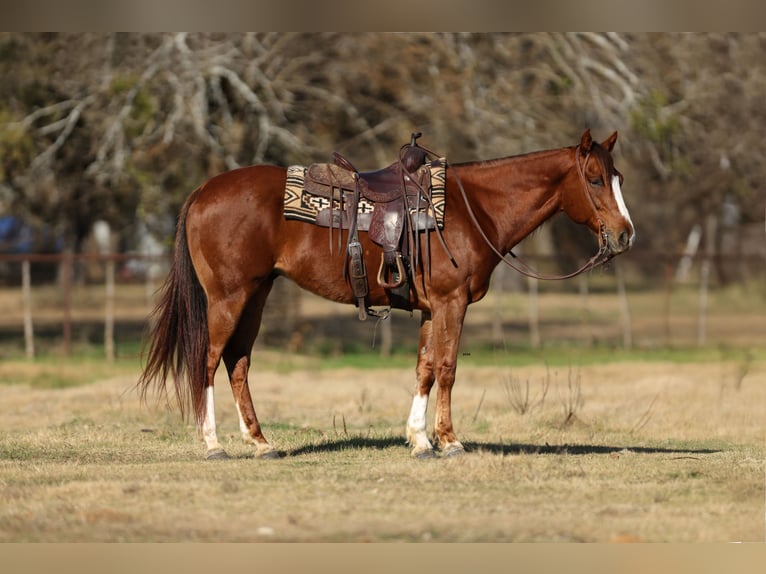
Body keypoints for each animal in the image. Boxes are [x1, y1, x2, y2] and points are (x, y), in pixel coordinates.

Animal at [138, 129, 635, 460]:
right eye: (594, 179)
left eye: (619, 178)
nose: (625, 235)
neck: (473, 207)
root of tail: (204, 190)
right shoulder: (451, 303)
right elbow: (447, 368)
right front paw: (450, 441)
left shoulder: (433, 308)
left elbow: (425, 369)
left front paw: (419, 439)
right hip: (228, 297)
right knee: (206, 361)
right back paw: (213, 444)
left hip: (256, 295)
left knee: (237, 362)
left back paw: (260, 442)